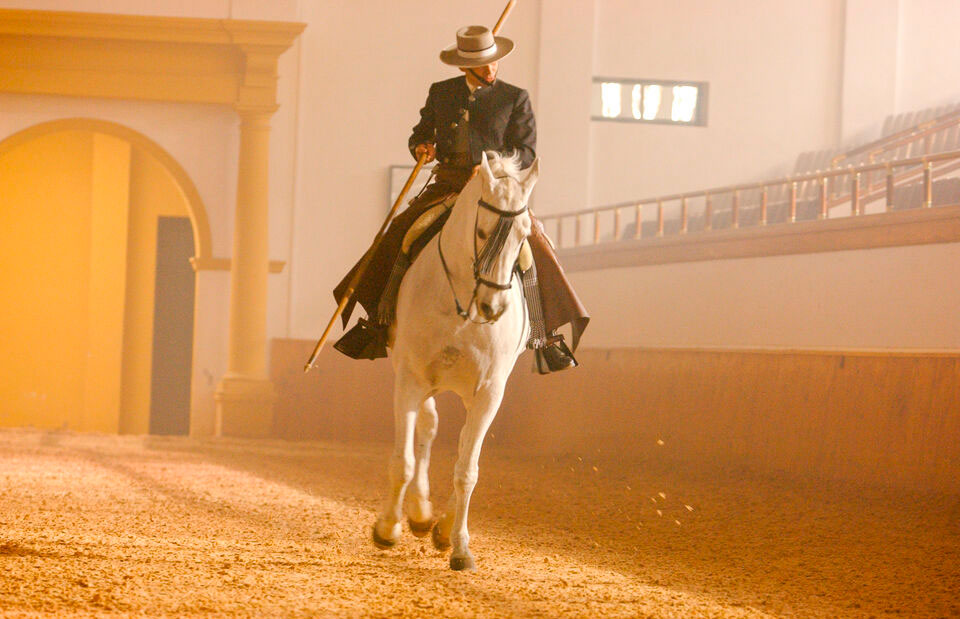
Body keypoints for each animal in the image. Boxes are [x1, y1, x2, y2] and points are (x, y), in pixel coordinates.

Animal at [374, 150, 540, 572]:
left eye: (522, 235)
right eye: (481, 232)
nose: (493, 307)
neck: (462, 306)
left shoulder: (489, 392)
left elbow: (467, 470)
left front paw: (460, 546)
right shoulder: (410, 378)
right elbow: (403, 459)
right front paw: (387, 529)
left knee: (460, 440)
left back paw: (440, 526)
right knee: (428, 429)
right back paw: (418, 515)